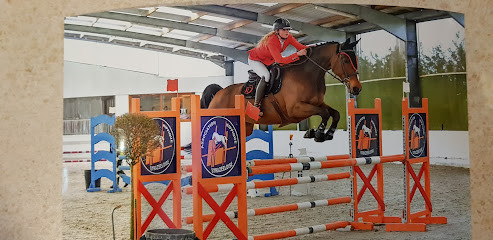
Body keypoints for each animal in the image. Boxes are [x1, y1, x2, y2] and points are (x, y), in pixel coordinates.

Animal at [202, 38, 360, 142]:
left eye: (356, 59)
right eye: (346, 60)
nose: (357, 88)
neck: (306, 75)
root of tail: (218, 94)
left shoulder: (317, 103)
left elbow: (335, 113)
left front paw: (328, 134)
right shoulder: (295, 109)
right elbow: (325, 113)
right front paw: (318, 134)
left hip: (246, 127)